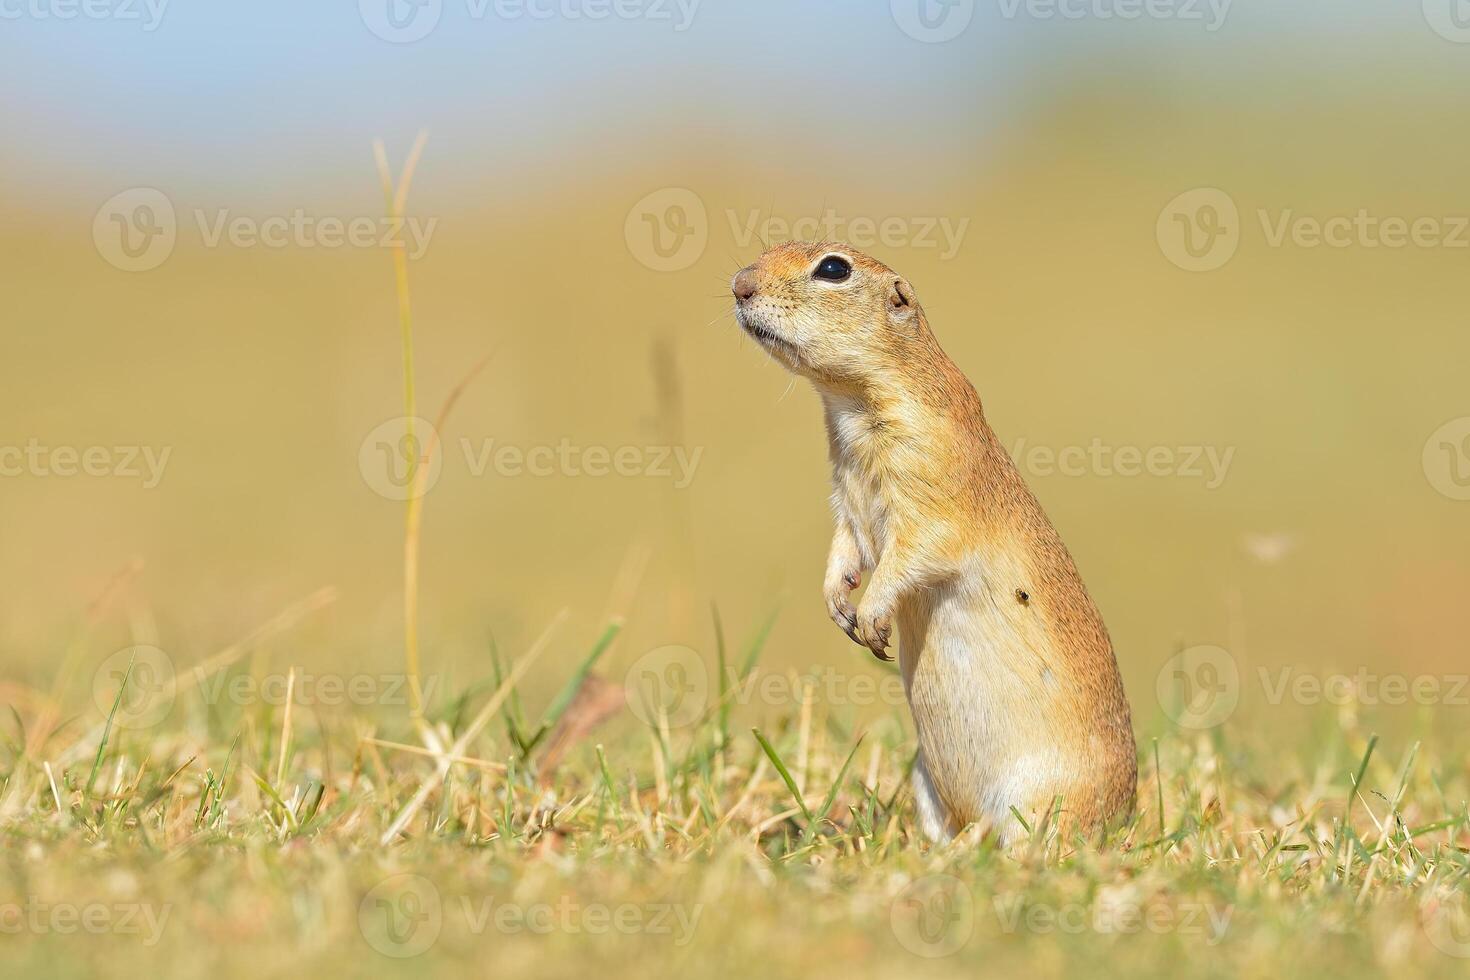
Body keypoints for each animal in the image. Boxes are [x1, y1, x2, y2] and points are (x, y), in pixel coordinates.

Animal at [732, 243, 1134, 846]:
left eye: (833, 268)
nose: (739, 285)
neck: (852, 405)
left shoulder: (932, 489)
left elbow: (914, 552)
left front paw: (871, 618)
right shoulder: (847, 499)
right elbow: (848, 548)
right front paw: (838, 603)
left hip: (1042, 799)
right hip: (925, 777)